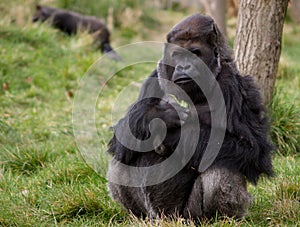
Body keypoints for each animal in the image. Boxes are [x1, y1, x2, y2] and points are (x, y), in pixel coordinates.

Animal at [106, 13, 274, 220]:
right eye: (178, 55)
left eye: (195, 53)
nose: (184, 66)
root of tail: (165, 217)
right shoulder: (154, 77)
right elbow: (122, 133)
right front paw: (158, 116)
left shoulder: (234, 85)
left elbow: (252, 149)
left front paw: (171, 135)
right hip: (155, 212)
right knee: (122, 155)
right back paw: (136, 215)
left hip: (187, 213)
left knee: (222, 163)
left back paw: (219, 217)